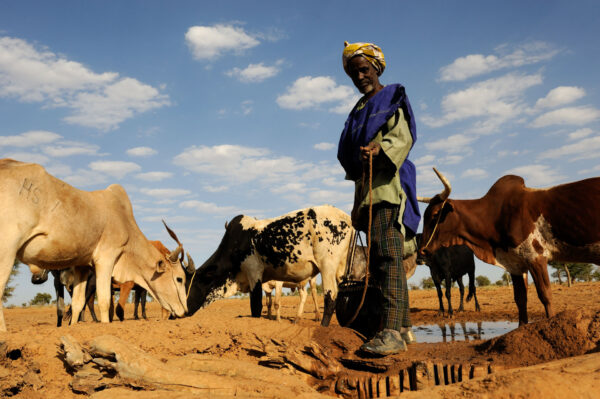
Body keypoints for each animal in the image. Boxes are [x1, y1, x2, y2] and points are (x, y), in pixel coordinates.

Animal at [188, 206, 354, 328]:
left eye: (193, 283)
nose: (183, 311)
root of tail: (348, 219)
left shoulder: (254, 273)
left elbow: (256, 306)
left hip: (327, 267)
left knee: (330, 296)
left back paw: (323, 325)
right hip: (341, 270)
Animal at [418, 167, 600, 326]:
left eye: (435, 215)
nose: (423, 251)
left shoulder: (536, 257)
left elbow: (545, 295)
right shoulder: (516, 264)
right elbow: (520, 299)